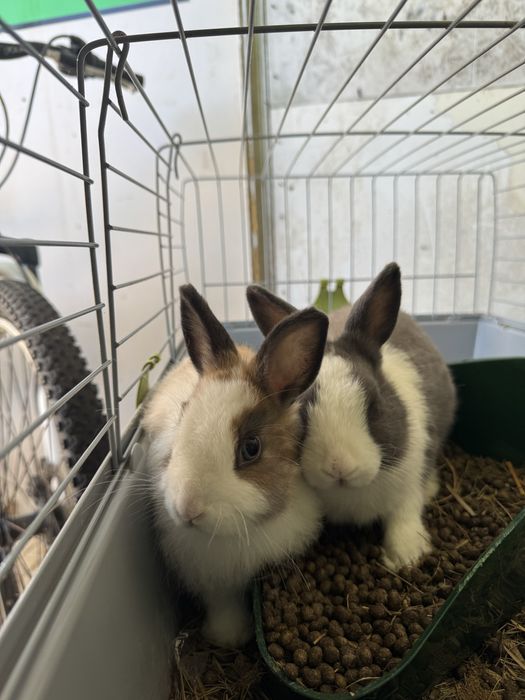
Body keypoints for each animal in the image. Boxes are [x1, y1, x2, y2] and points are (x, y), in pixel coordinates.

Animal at [141, 284, 328, 648]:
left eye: (251, 448)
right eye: (183, 415)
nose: (187, 509)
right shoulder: (211, 582)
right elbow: (223, 606)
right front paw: (226, 638)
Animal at [247, 263, 457, 570]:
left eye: (374, 405)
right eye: (302, 413)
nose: (339, 468)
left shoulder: (409, 484)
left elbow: (404, 516)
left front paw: (405, 557)